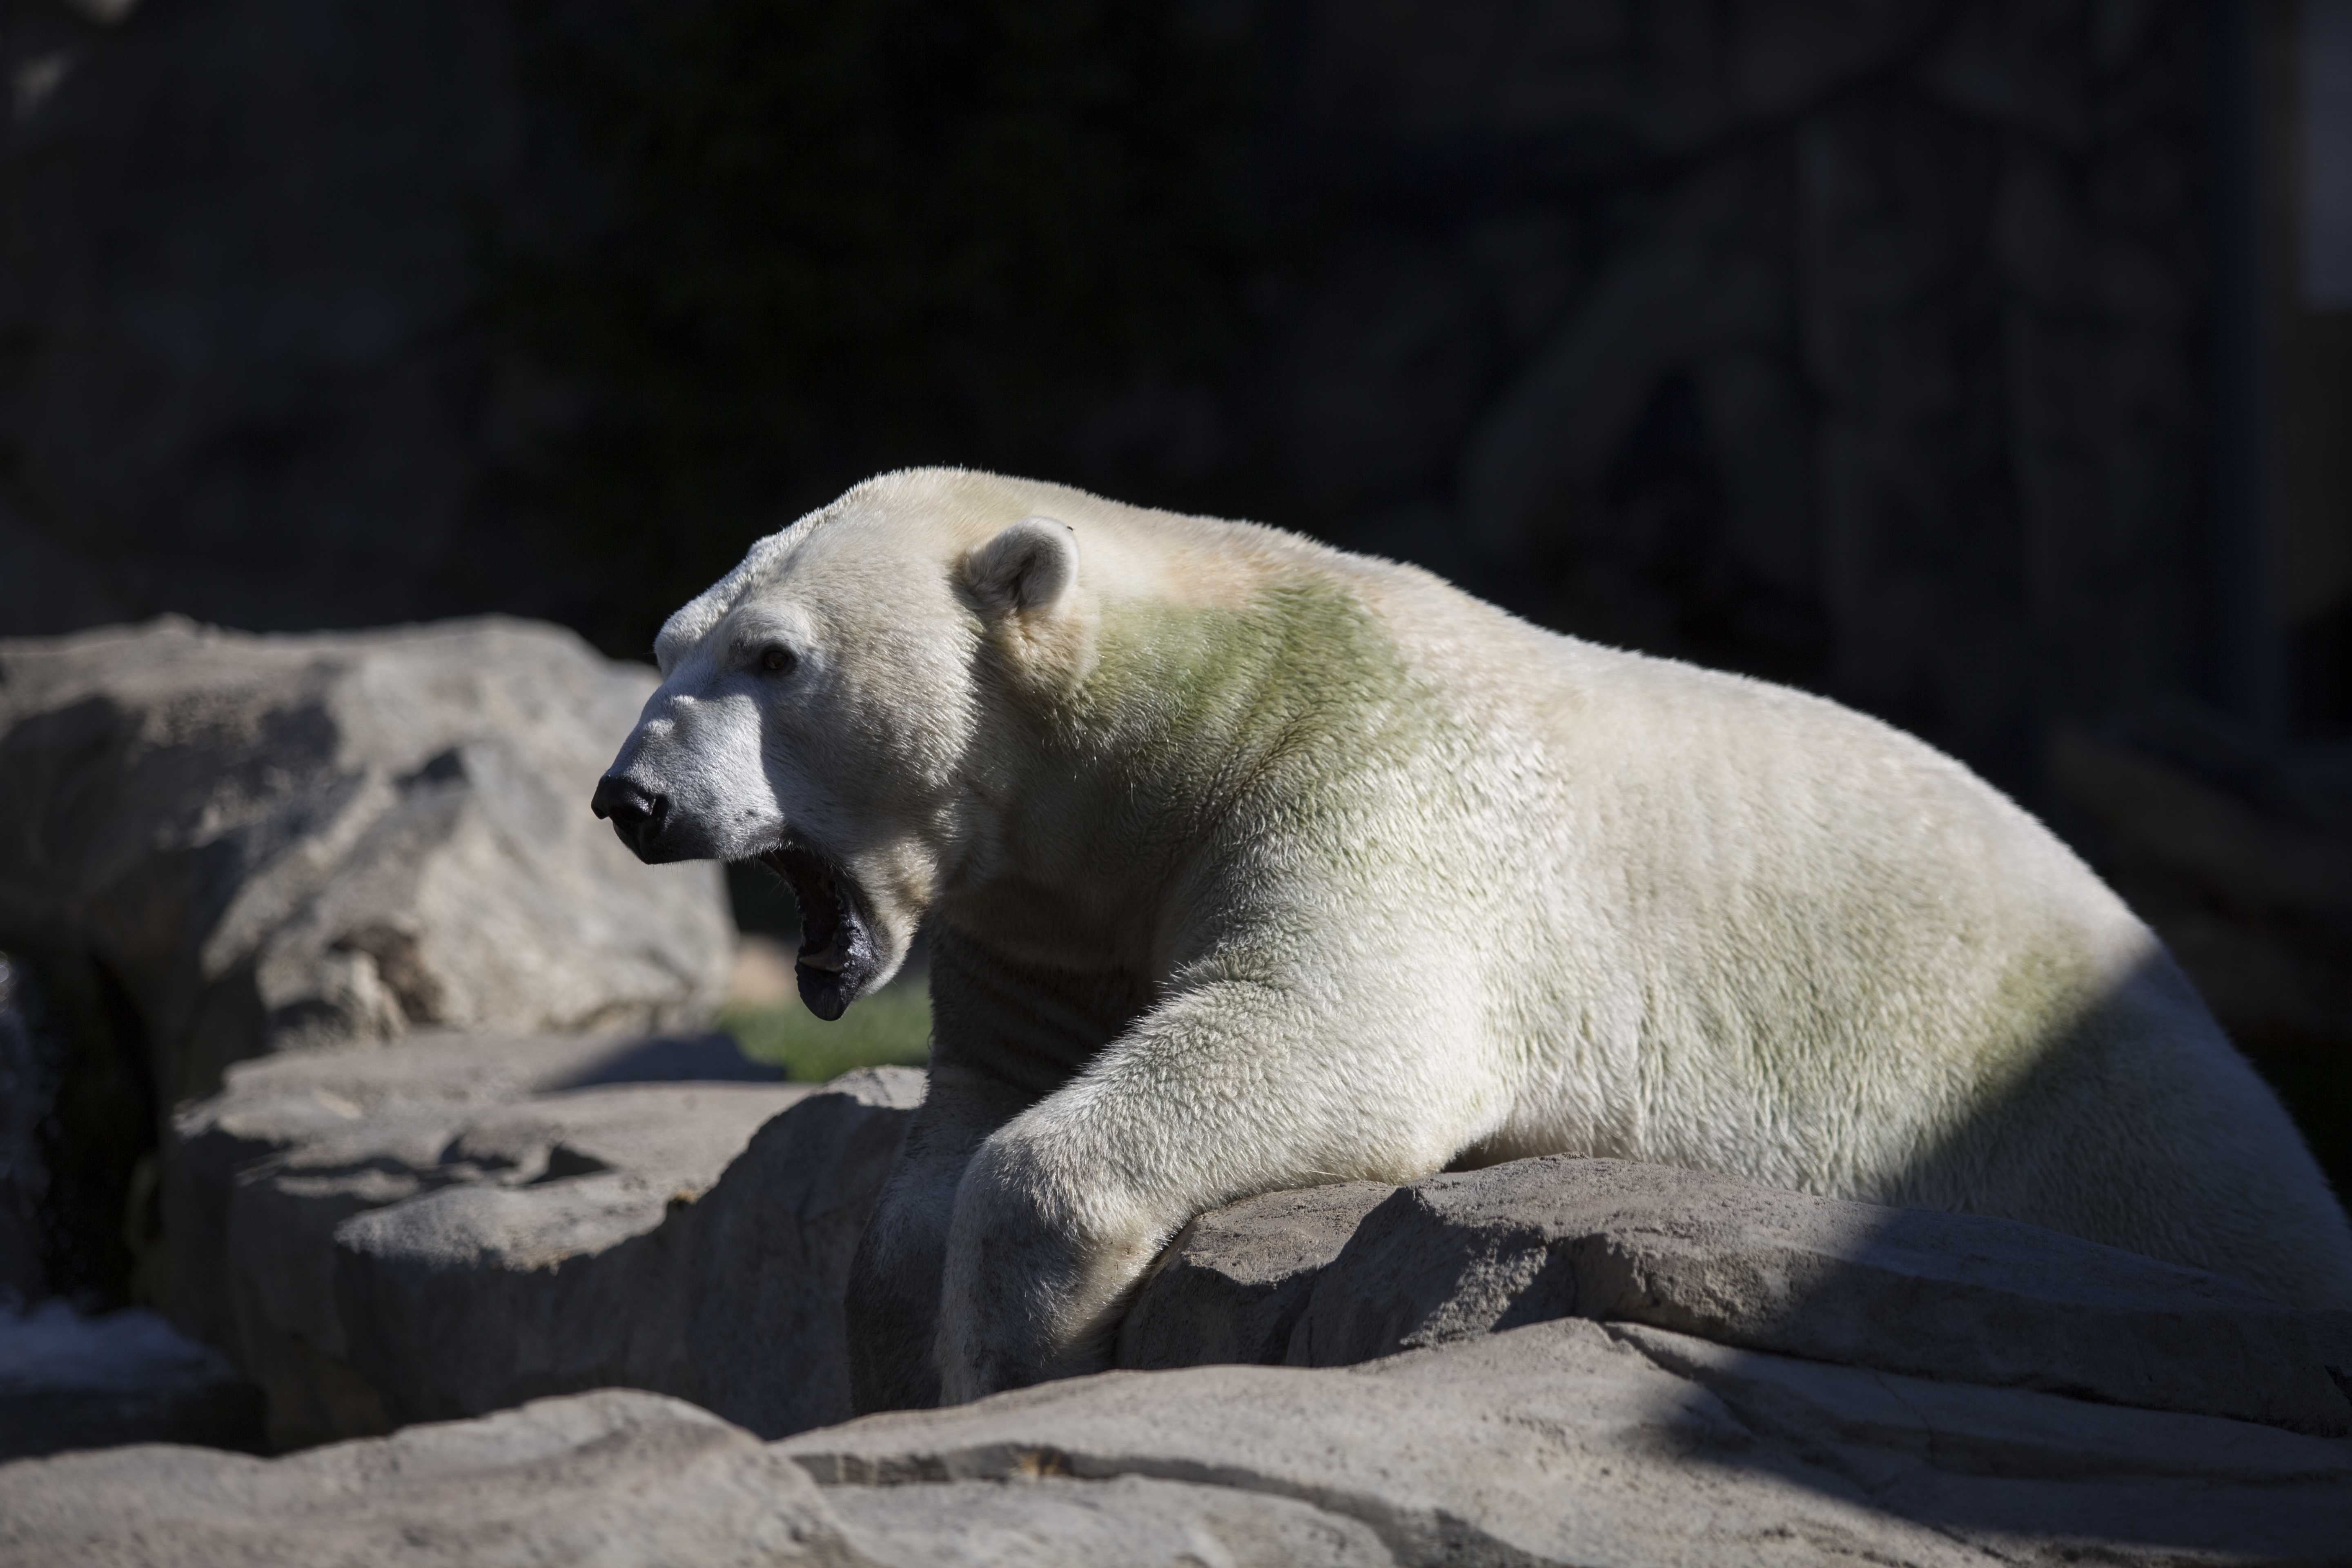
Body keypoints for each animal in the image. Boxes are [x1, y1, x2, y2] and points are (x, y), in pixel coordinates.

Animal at [602, 465, 2352, 1410]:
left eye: (776, 657)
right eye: (669, 639)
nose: (631, 798)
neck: (1176, 715)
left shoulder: (1365, 782)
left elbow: (1325, 1031)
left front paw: (1017, 1350)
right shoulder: (1051, 907)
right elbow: (967, 1119)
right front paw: (900, 1332)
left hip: (2099, 1124)